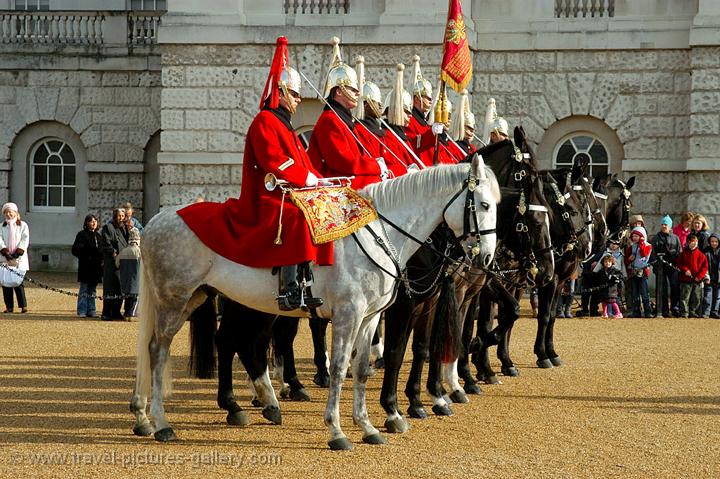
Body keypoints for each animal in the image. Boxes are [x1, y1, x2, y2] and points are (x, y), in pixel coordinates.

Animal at [129, 158, 500, 450]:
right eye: (483, 205)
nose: (486, 257)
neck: (379, 232)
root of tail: (156, 221)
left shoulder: (370, 317)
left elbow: (361, 368)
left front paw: (367, 426)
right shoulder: (350, 314)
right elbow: (339, 367)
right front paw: (337, 430)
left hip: (202, 297)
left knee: (210, 344)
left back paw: (149, 416)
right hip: (175, 299)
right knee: (159, 349)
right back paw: (162, 422)